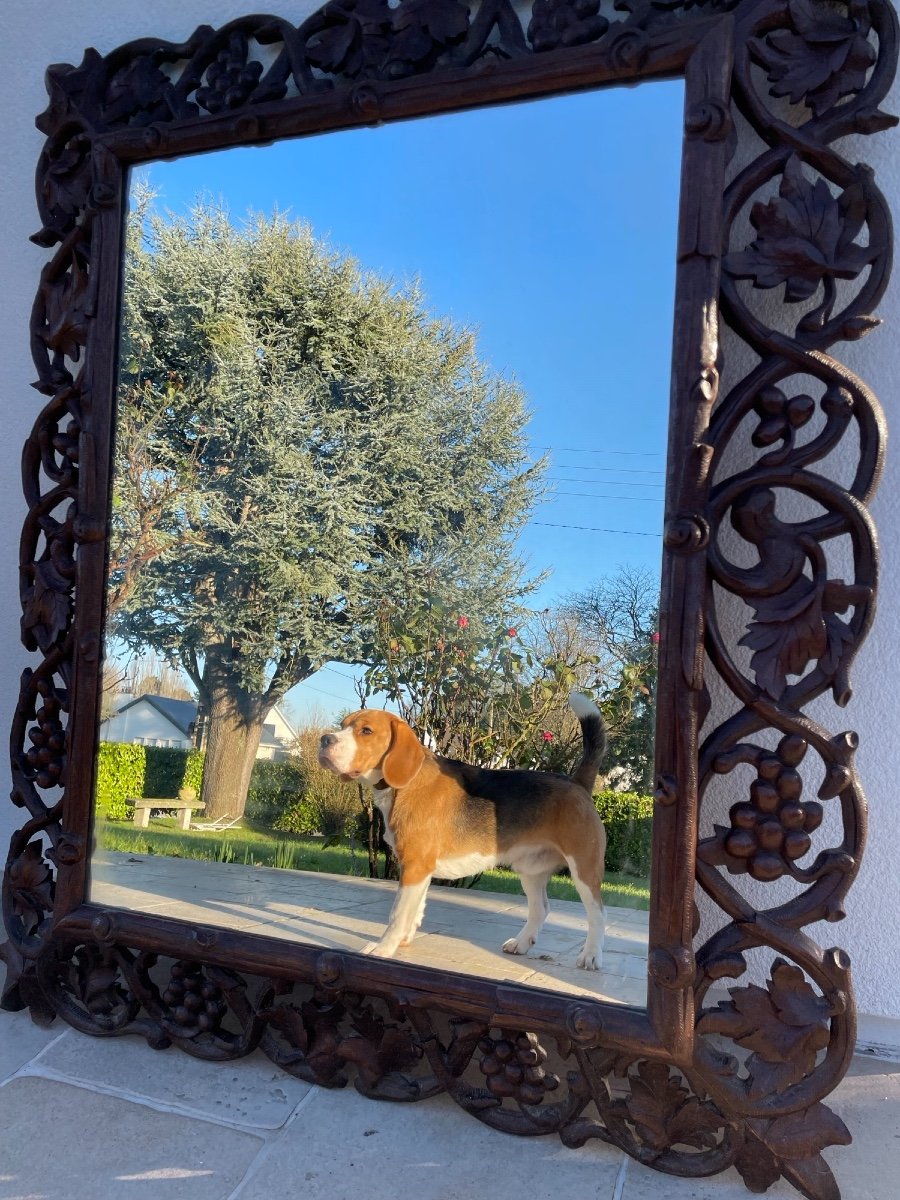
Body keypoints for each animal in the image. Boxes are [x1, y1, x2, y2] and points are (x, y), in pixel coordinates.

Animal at [316, 696, 607, 964]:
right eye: (342, 726)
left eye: (366, 731)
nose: (324, 740)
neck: (406, 784)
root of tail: (577, 783)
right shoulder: (420, 868)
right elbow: (415, 909)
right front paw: (405, 939)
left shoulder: (415, 865)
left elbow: (397, 913)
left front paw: (384, 947)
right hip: (531, 870)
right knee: (541, 909)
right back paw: (522, 943)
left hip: (584, 869)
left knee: (598, 914)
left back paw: (590, 955)